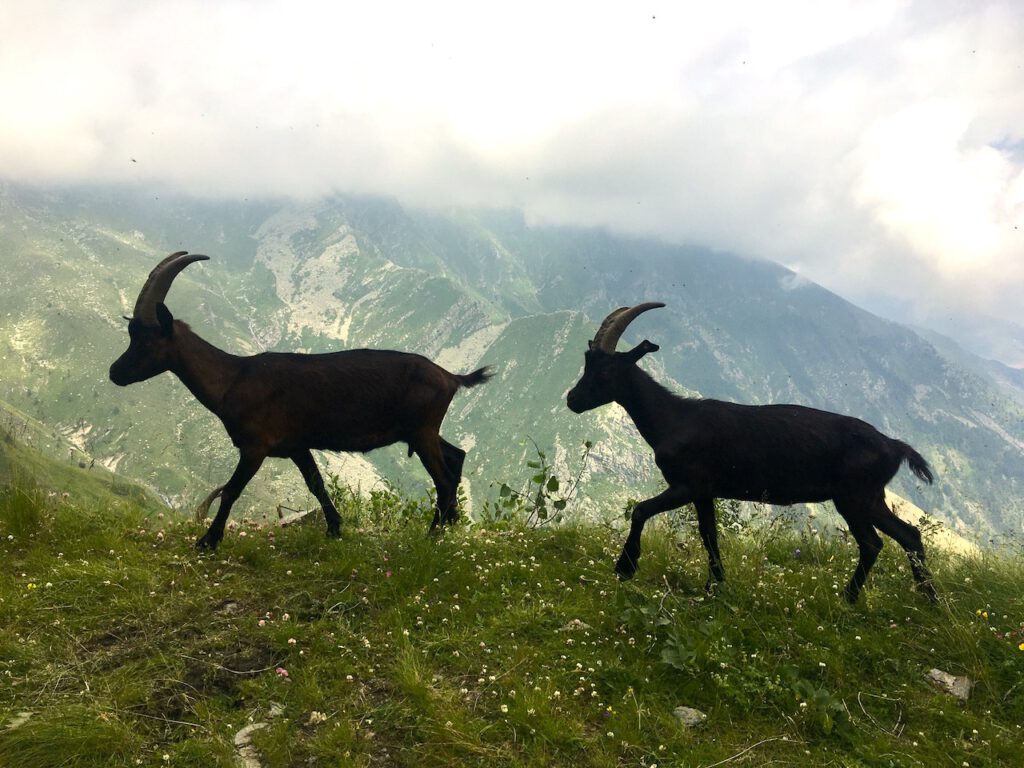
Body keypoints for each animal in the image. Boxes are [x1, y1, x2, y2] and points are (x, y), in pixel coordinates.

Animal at [110, 250, 493, 548]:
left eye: (145, 339)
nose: (115, 372)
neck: (234, 377)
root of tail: (450, 377)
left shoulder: (256, 446)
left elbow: (232, 490)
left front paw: (208, 541)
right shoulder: (296, 445)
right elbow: (316, 484)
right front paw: (335, 529)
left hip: (422, 431)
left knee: (444, 478)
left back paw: (433, 535)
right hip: (423, 432)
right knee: (456, 457)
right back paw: (449, 524)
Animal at [565, 303, 937, 606]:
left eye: (604, 371)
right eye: (586, 364)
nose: (572, 400)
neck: (673, 419)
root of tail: (893, 445)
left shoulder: (687, 484)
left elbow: (641, 511)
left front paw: (625, 568)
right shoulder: (705, 491)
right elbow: (709, 534)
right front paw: (715, 584)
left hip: (853, 497)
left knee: (873, 543)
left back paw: (851, 597)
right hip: (871, 497)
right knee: (908, 535)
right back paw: (929, 599)